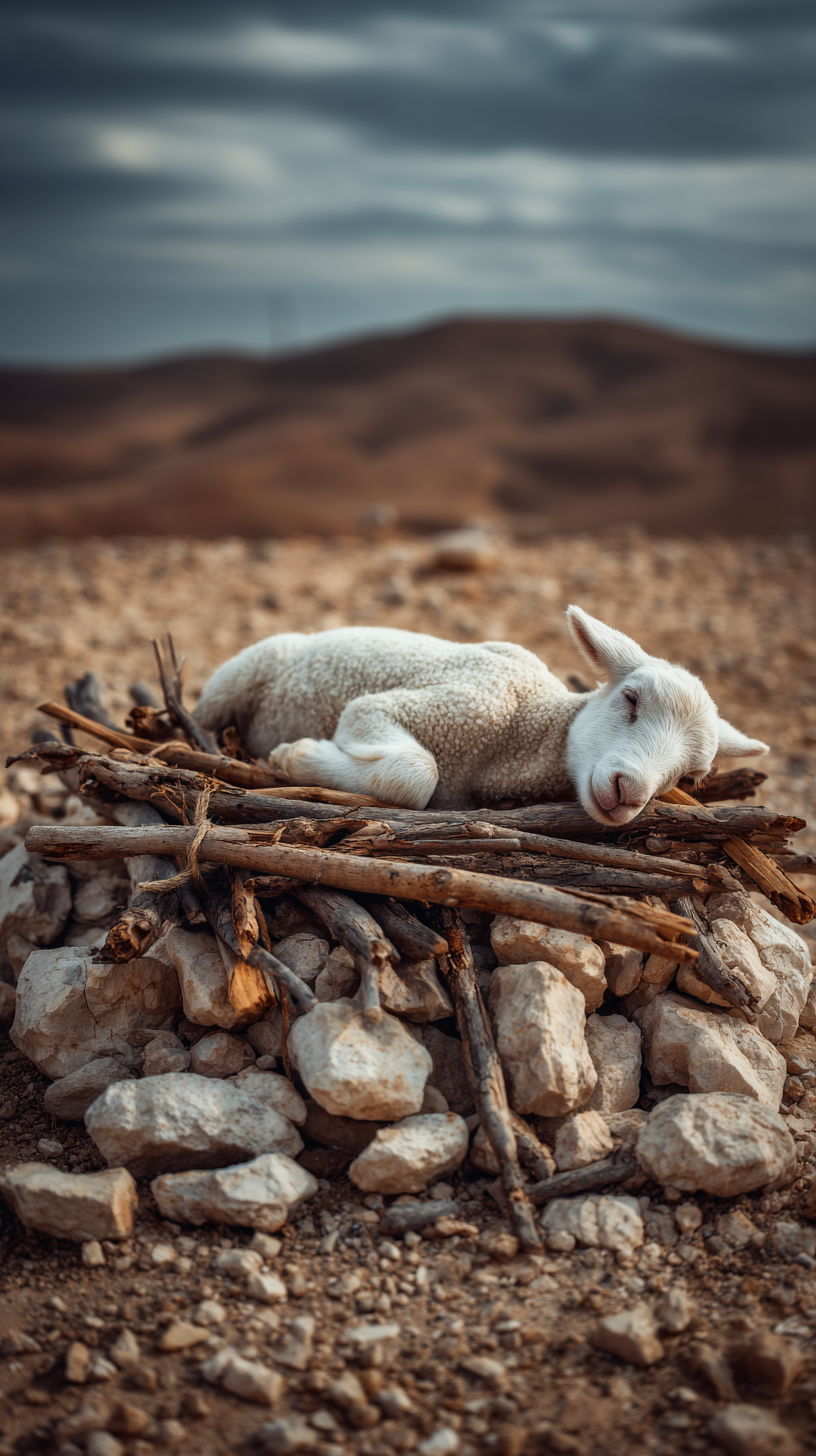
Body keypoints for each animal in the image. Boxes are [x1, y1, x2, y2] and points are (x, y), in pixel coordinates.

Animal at [194, 606, 768, 824]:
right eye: (629, 699)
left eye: (692, 777)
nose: (630, 792)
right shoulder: (434, 705)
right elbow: (415, 775)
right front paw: (297, 756)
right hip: (245, 669)